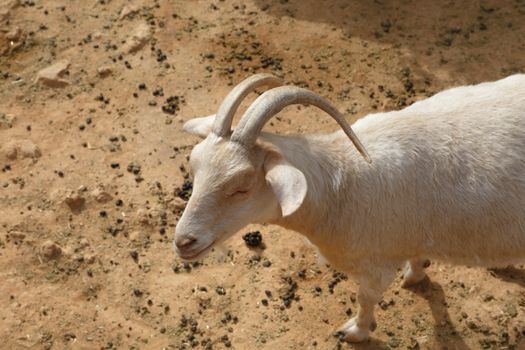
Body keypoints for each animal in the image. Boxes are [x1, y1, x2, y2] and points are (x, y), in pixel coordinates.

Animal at [173, 73, 524, 342]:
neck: (341, 184)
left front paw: (356, 332)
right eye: (194, 166)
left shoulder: (376, 267)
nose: (183, 242)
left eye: (242, 187)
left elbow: (365, 299)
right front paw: (416, 272)